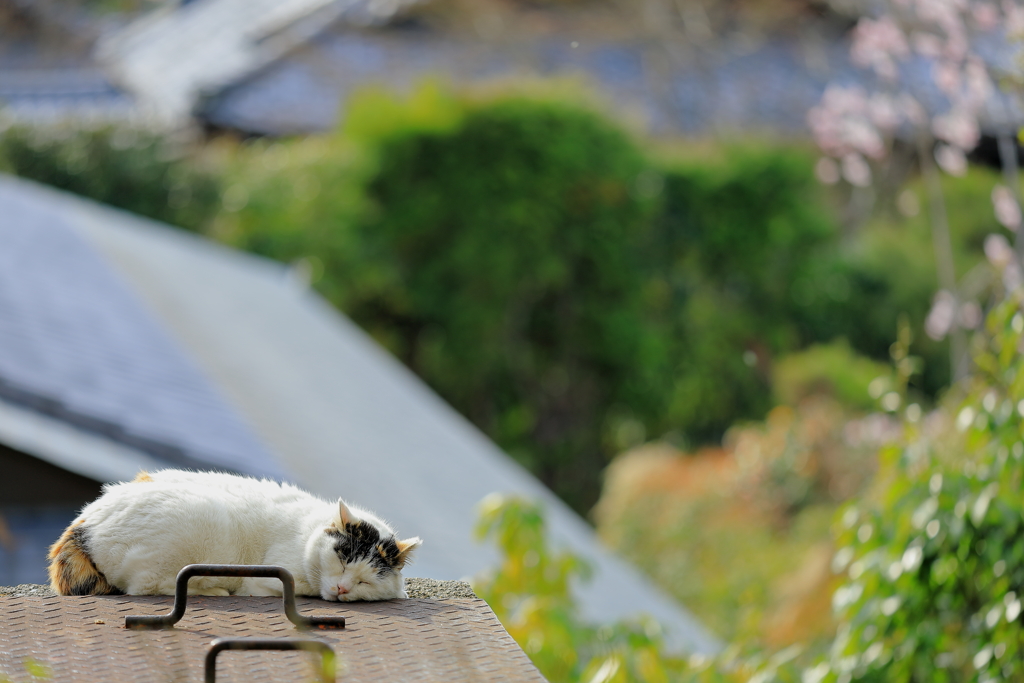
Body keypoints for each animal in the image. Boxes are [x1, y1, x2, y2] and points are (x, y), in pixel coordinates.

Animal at [48, 466, 419, 602]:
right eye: (341, 560)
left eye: (365, 581)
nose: (342, 588)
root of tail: (81, 527)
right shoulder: (272, 578)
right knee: (148, 586)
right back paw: (212, 589)